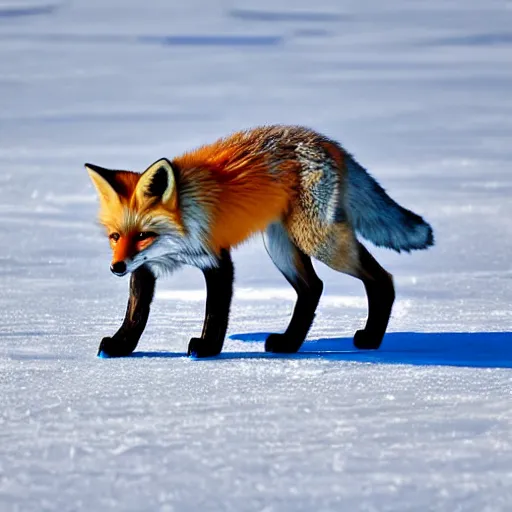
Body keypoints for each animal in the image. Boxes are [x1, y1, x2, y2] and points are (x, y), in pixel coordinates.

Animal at [86, 125, 434, 356]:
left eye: (144, 235)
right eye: (115, 237)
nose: (117, 267)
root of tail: (324, 139)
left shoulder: (216, 257)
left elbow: (216, 312)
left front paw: (208, 348)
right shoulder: (145, 267)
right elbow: (136, 314)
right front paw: (121, 346)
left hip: (317, 241)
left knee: (381, 279)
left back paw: (371, 339)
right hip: (281, 246)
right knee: (313, 288)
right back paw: (289, 343)